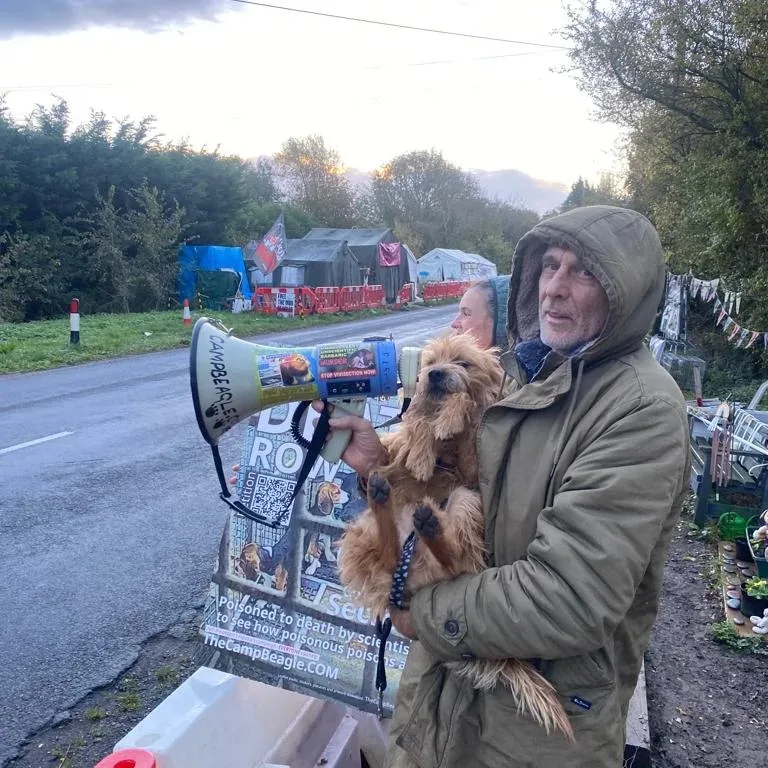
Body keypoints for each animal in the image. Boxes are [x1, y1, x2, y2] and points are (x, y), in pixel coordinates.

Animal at [340, 334, 572, 736]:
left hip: (464, 501)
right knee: (389, 548)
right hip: (365, 533)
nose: (434, 375)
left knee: (454, 563)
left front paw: (449, 418)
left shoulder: (472, 471)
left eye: (463, 363)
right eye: (430, 362)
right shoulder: (397, 449)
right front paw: (421, 449)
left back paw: (431, 527)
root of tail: (409, 580)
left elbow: (462, 405)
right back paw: (384, 500)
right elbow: (413, 426)